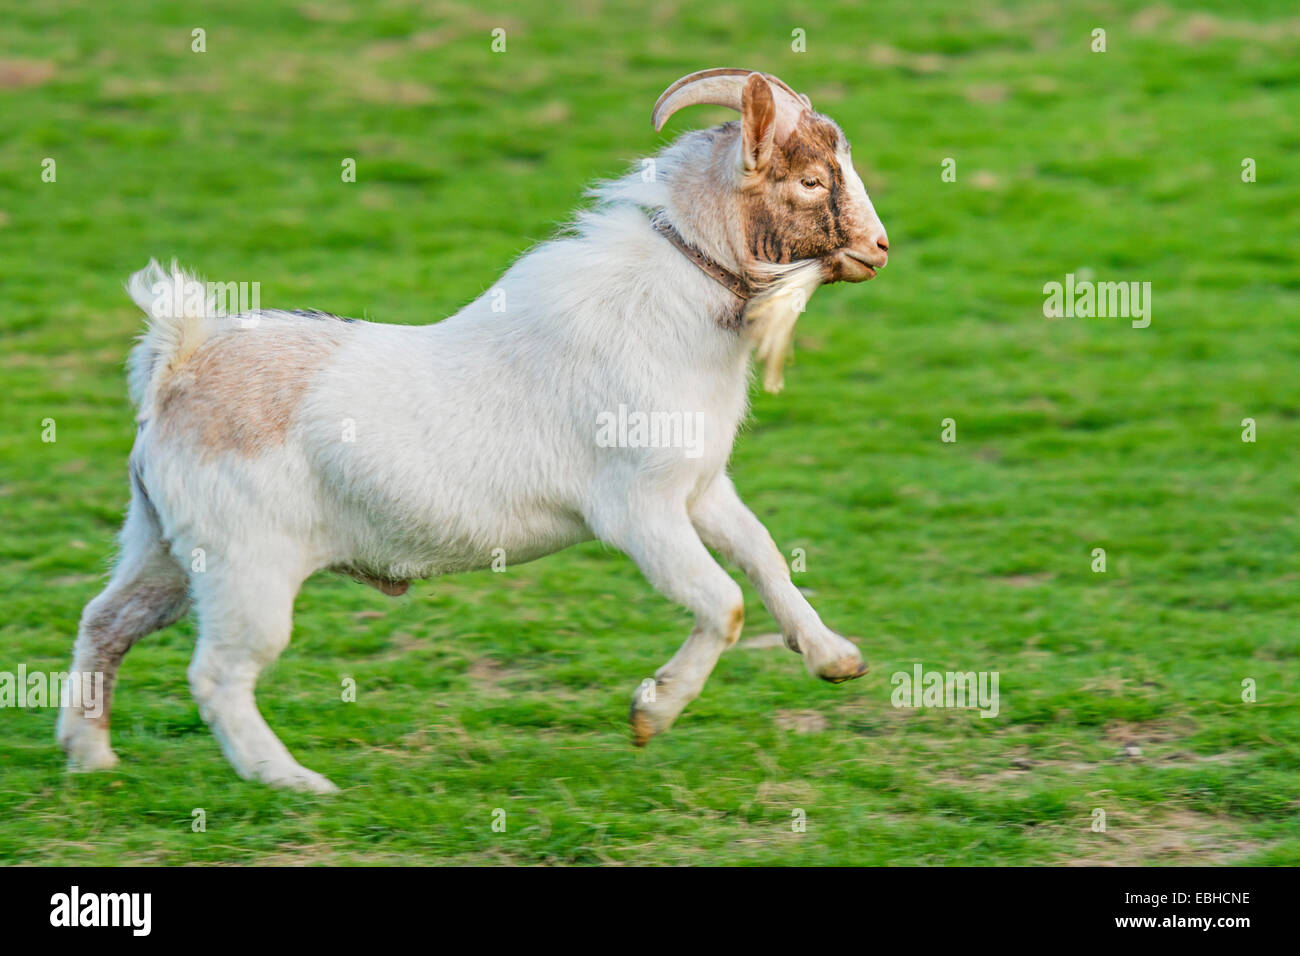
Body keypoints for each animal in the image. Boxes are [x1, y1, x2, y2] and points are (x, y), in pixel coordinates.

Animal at [63, 69, 894, 790]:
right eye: (811, 181)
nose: (879, 249)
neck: (670, 308)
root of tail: (180, 362)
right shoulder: (637, 511)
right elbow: (722, 602)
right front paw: (651, 713)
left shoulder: (699, 488)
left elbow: (764, 558)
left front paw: (836, 659)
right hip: (247, 567)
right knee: (218, 674)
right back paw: (295, 782)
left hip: (164, 548)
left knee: (105, 621)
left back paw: (90, 759)